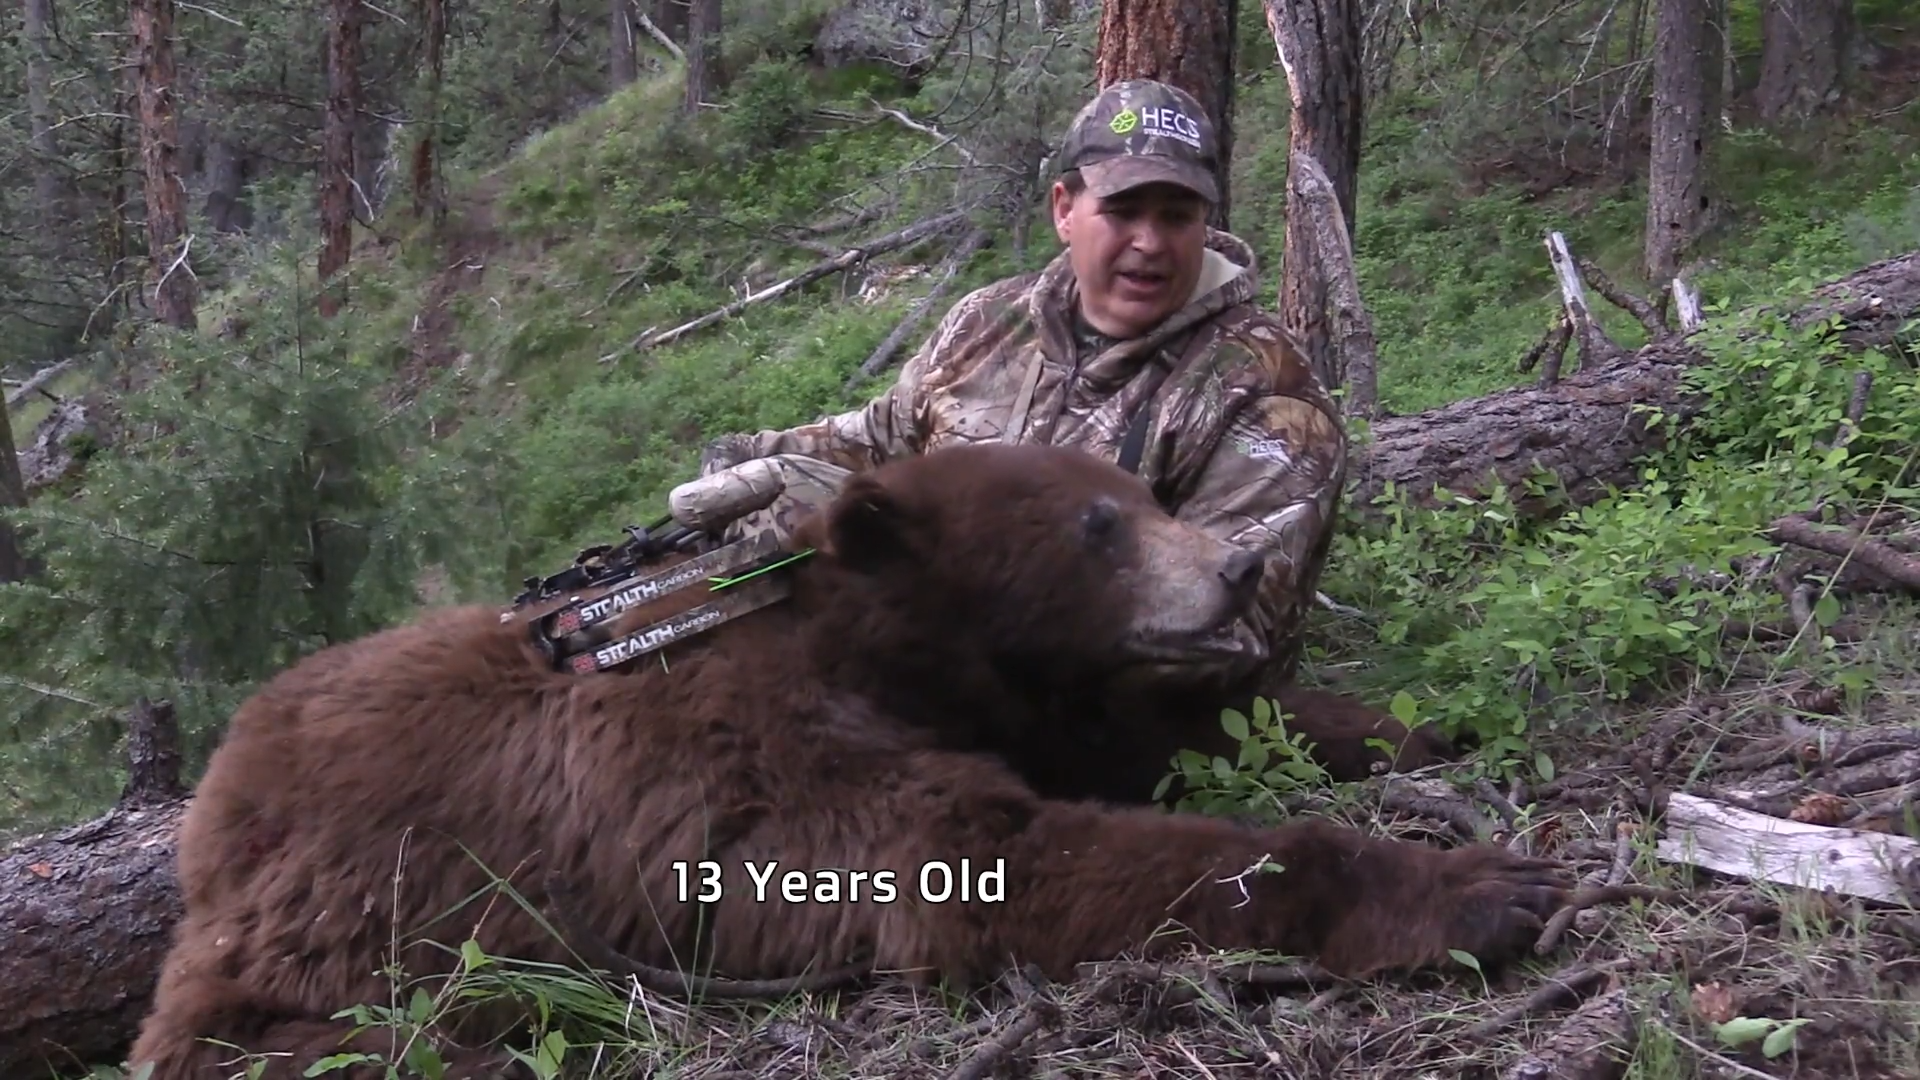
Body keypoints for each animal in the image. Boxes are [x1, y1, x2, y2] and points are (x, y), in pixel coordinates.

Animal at [127, 442, 1567, 1079]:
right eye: (1097, 525)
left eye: (1142, 492)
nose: (1237, 565)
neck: (866, 641)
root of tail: (210, 815)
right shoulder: (743, 762)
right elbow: (975, 859)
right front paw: (1478, 887)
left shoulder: (998, 699)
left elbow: (1147, 736)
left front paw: (1414, 723)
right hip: (350, 933)